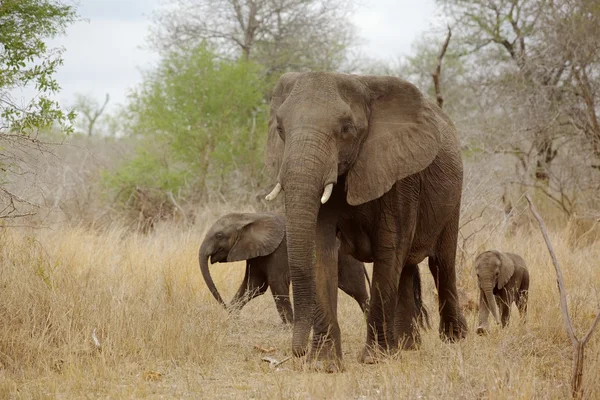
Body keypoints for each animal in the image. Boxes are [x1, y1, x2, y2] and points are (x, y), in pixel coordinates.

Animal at [198, 211, 370, 324]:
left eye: (219, 236)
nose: (225, 307)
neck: (250, 216)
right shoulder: (257, 254)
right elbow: (254, 286)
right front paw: (232, 319)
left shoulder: (279, 251)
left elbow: (276, 283)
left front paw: (288, 326)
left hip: (346, 258)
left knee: (354, 288)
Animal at [264, 72, 466, 372]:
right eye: (280, 128)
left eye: (346, 128)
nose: (296, 353)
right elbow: (321, 251)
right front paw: (323, 365)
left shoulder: (400, 178)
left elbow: (389, 251)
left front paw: (374, 359)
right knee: (407, 268)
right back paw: (406, 346)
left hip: (453, 195)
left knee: (441, 263)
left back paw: (454, 338)